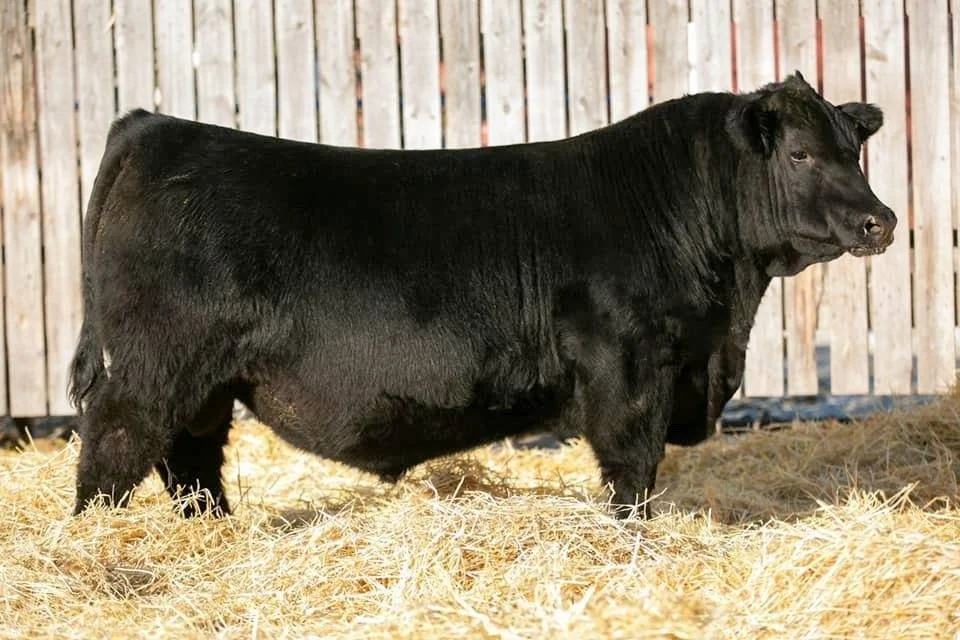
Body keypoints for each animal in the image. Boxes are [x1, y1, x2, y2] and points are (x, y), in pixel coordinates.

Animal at [69, 72, 895, 519]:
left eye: (853, 150)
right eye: (800, 153)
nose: (879, 220)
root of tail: (155, 125)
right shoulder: (628, 365)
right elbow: (632, 466)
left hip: (204, 381)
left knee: (189, 458)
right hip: (155, 363)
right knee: (115, 441)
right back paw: (91, 534)